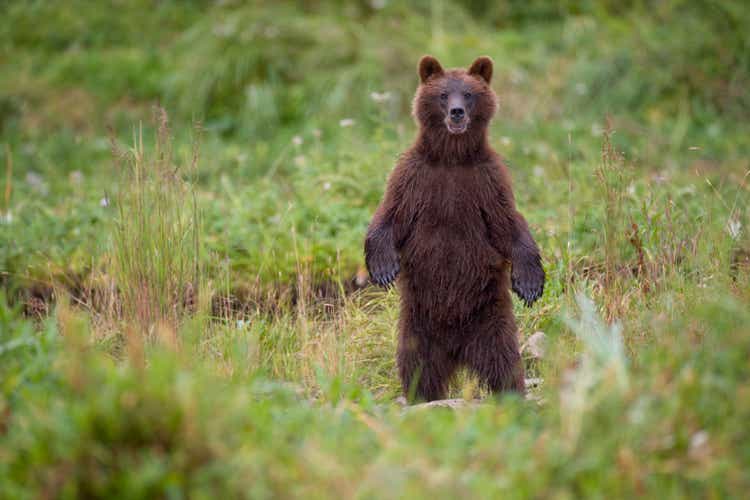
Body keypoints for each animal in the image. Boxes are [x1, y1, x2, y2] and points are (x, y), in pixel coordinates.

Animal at [366, 54, 548, 402]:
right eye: (442, 94)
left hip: (490, 319)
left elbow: (509, 226)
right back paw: (421, 397)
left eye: (468, 94)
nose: (457, 112)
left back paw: (511, 394)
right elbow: (389, 217)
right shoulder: (415, 178)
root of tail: (457, 352)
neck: (451, 158)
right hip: (418, 325)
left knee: (505, 362)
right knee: (417, 366)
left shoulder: (487, 182)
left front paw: (530, 283)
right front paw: (382, 269)